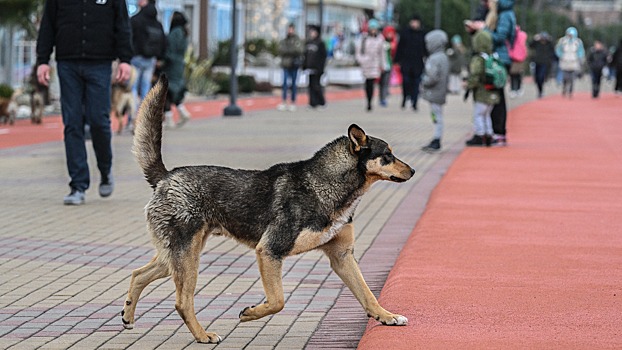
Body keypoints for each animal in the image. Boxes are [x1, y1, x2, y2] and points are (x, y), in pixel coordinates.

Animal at [120, 76, 414, 342]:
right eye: (387, 155)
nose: (412, 171)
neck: (324, 184)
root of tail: (165, 176)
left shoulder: (342, 256)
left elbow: (368, 295)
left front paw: (387, 316)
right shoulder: (269, 251)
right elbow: (278, 301)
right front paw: (250, 313)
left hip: (177, 257)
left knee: (138, 274)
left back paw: (128, 316)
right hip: (186, 257)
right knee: (182, 301)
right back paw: (203, 336)